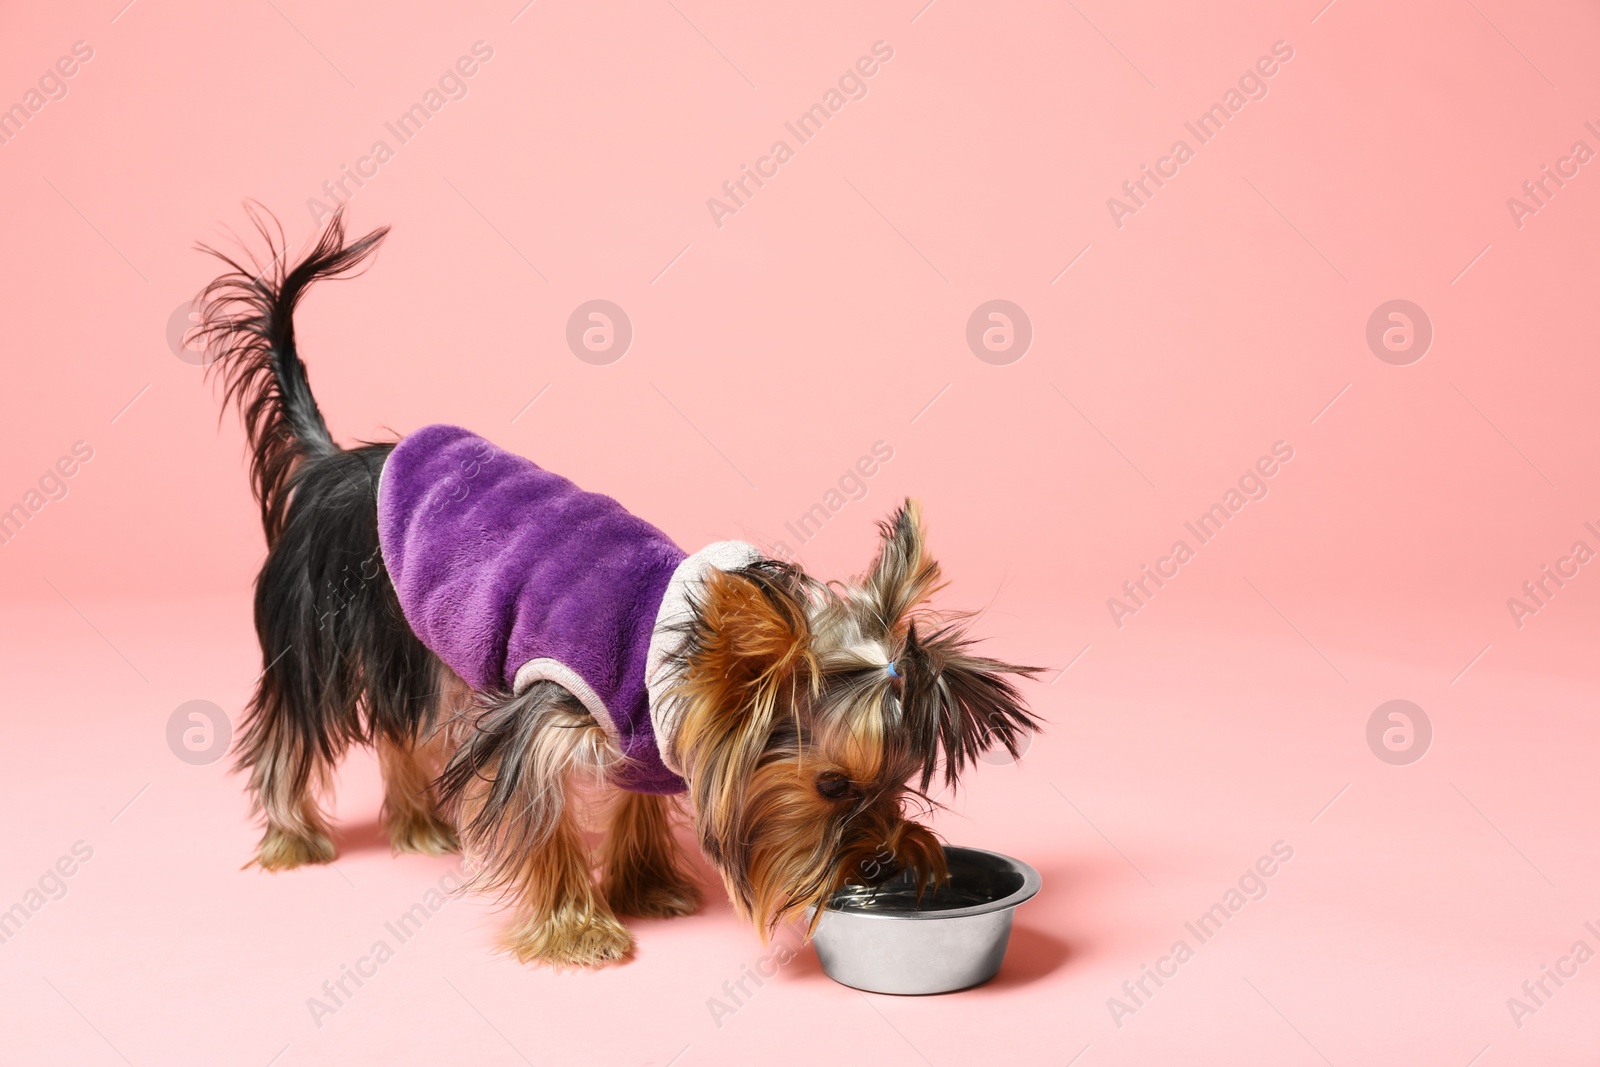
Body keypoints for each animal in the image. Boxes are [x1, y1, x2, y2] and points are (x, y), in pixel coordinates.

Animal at [193, 207, 1043, 966]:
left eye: (903, 778)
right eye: (833, 784)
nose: (886, 863)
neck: (673, 658)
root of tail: (334, 461)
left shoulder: (650, 730)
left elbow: (637, 801)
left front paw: (648, 885)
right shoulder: (540, 722)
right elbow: (542, 821)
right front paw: (577, 930)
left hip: (419, 635)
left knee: (405, 723)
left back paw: (416, 821)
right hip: (323, 634)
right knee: (293, 725)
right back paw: (293, 837)